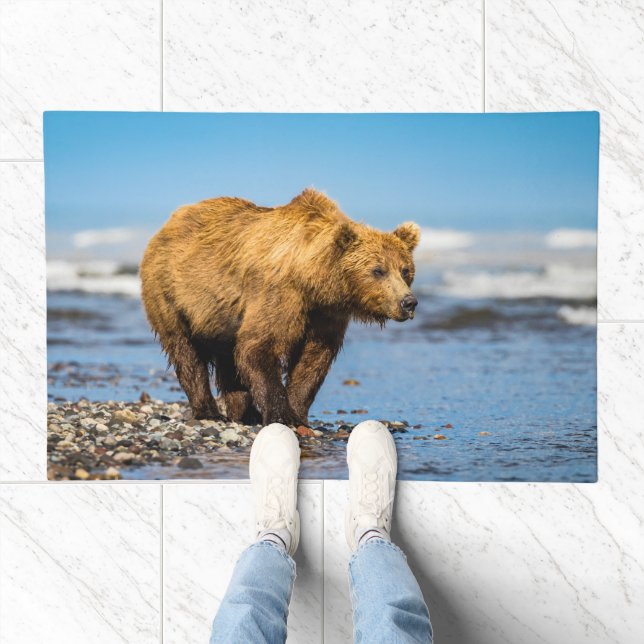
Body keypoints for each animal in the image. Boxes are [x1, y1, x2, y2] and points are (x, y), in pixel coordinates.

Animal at [140, 188, 419, 426]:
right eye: (378, 270)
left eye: (405, 270)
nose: (408, 302)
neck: (313, 279)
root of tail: (168, 224)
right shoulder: (280, 292)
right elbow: (259, 345)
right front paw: (282, 415)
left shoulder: (326, 313)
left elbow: (314, 358)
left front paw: (297, 411)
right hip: (170, 292)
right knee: (185, 350)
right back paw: (208, 411)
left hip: (223, 317)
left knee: (228, 359)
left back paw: (245, 413)